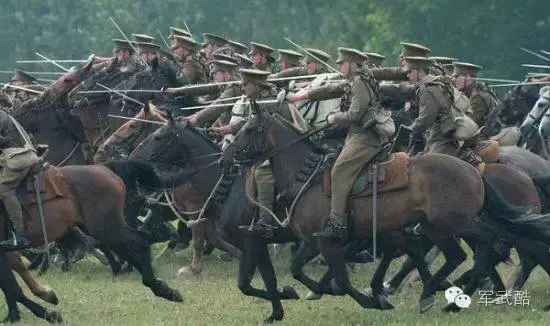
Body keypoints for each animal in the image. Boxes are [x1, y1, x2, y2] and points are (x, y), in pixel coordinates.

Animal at [222, 110, 544, 316]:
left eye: (249, 129)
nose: (226, 157)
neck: (306, 178)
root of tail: (474, 170)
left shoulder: (327, 242)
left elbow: (339, 280)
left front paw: (372, 301)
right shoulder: (315, 242)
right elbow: (300, 270)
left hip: (455, 223)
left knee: (487, 245)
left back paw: (448, 290)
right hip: (437, 227)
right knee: (465, 253)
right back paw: (443, 293)